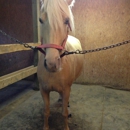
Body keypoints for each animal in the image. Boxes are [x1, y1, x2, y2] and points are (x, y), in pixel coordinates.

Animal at [36, 0, 83, 130]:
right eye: (40, 20)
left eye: (67, 21)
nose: (51, 63)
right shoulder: (43, 90)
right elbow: (46, 111)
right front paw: (45, 127)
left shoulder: (66, 90)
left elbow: (64, 113)